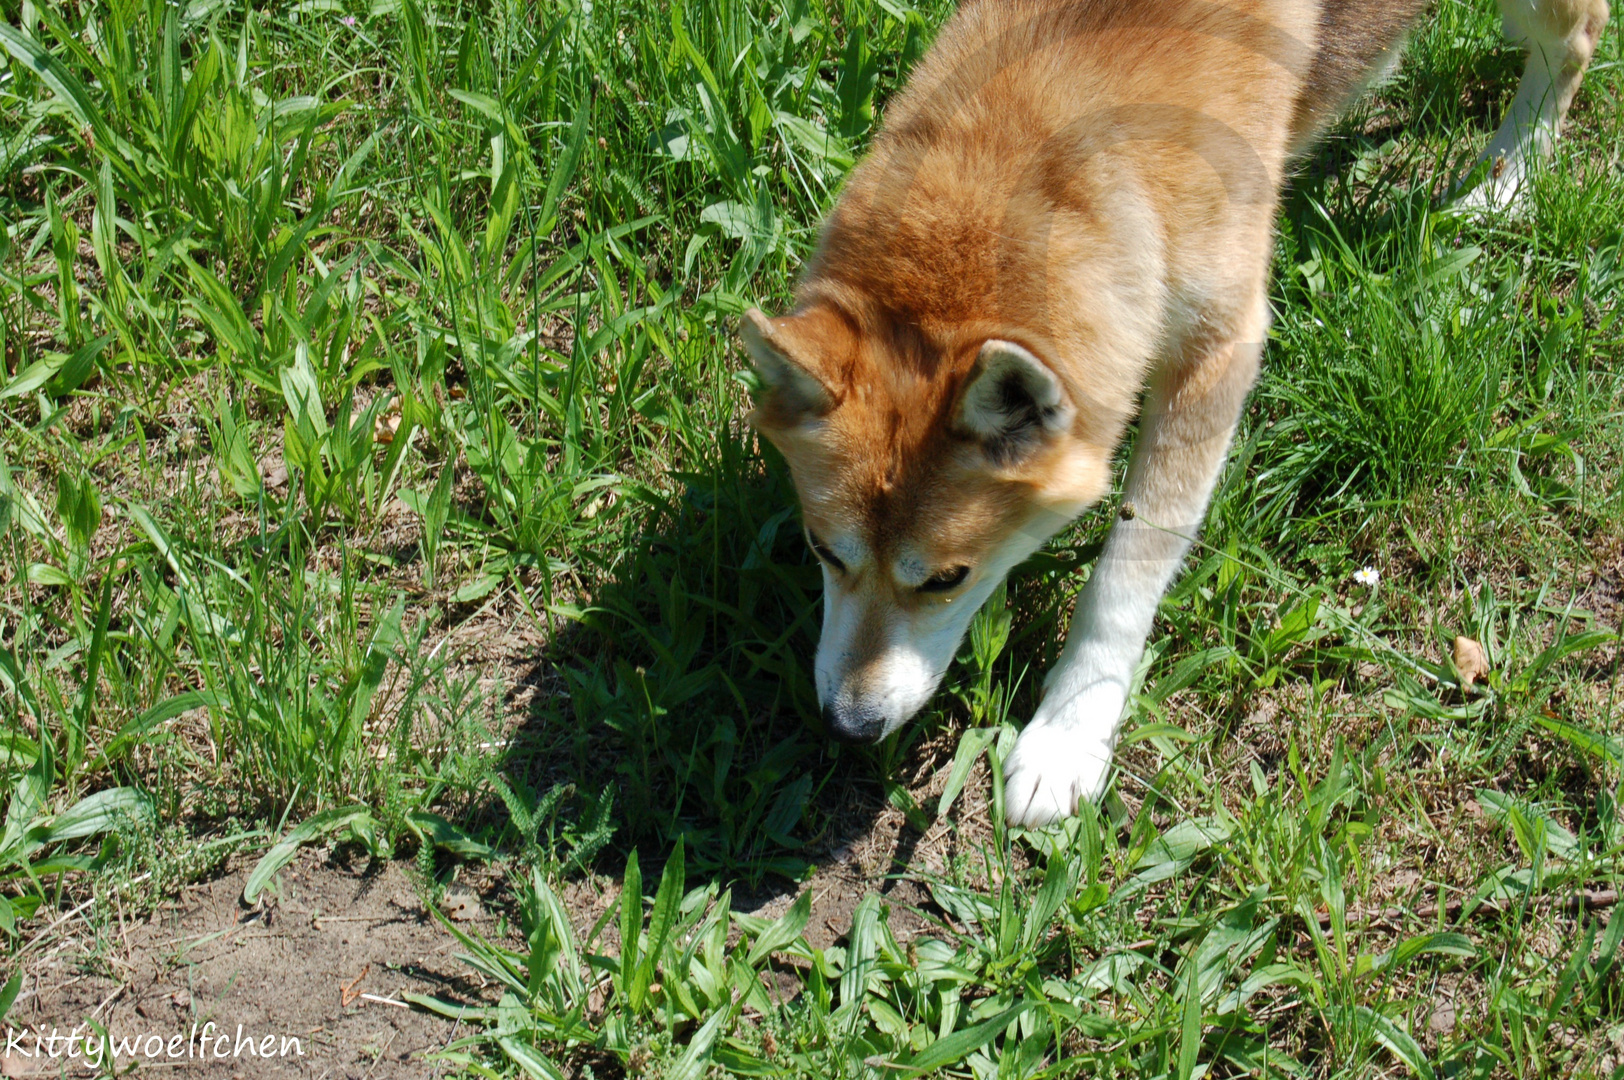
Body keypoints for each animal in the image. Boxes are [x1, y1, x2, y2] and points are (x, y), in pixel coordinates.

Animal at [743, 0, 1604, 825]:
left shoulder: (1219, 353)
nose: (848, 725)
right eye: (822, 550)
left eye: (948, 579)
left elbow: (1127, 570)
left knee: (1577, 38)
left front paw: (1068, 736)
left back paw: (1510, 175)